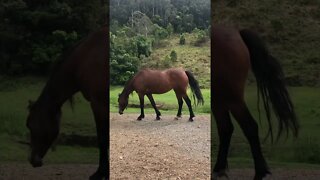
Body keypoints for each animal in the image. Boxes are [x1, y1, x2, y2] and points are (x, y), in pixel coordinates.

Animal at [25, 25, 109, 180]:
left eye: (30, 124)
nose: (32, 160)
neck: (84, 59)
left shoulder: (98, 104)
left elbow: (102, 139)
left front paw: (100, 173)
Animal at [212, 25, 300, 180]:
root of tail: (237, 34)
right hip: (219, 98)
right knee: (226, 128)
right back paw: (219, 169)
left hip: (232, 98)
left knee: (249, 126)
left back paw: (259, 172)